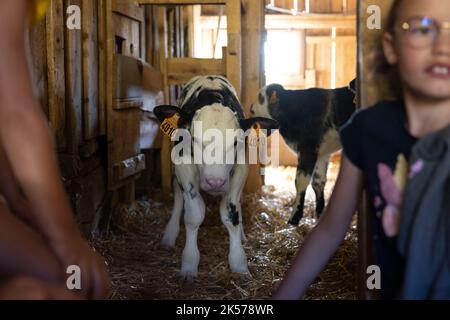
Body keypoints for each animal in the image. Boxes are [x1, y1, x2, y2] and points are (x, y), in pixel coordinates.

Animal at [154, 75, 278, 280]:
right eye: (194, 139)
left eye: (235, 142)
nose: (215, 182)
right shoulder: (183, 165)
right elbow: (194, 215)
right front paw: (189, 263)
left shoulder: (240, 168)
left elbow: (230, 214)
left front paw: (238, 262)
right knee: (178, 194)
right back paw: (169, 235)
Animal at [250, 80, 356, 225]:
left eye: (260, 97)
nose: (251, 108)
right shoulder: (322, 154)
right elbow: (318, 182)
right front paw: (319, 214)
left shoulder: (307, 149)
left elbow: (300, 182)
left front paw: (294, 217)